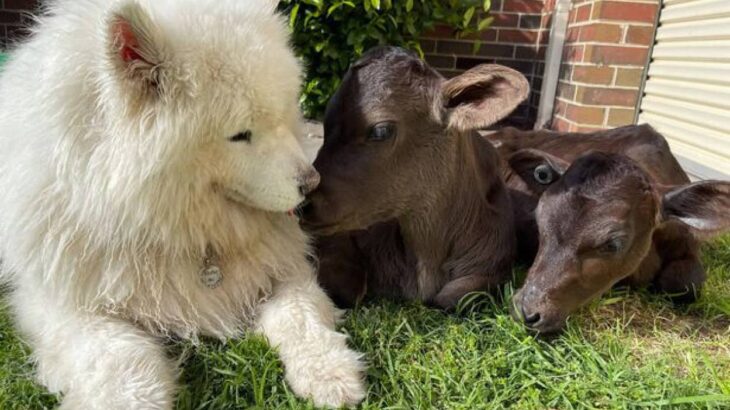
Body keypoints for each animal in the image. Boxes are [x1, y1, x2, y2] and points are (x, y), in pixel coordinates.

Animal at [0, 0, 364, 406]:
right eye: (240, 135)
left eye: (282, 116)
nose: (312, 184)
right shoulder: (67, 304)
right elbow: (121, 358)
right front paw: (128, 399)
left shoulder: (284, 270)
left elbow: (300, 315)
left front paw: (330, 373)